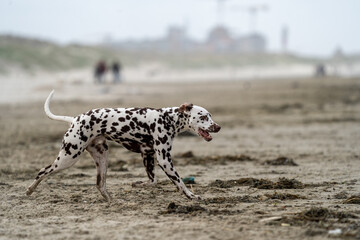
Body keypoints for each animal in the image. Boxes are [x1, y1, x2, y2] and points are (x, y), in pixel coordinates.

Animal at [25, 90, 221, 201]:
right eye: (203, 116)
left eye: (210, 116)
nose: (218, 127)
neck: (167, 118)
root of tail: (75, 119)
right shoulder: (164, 160)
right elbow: (179, 182)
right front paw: (191, 195)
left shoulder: (148, 156)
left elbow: (153, 181)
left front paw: (139, 184)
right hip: (68, 157)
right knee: (42, 171)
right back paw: (30, 190)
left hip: (103, 159)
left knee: (100, 184)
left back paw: (110, 200)